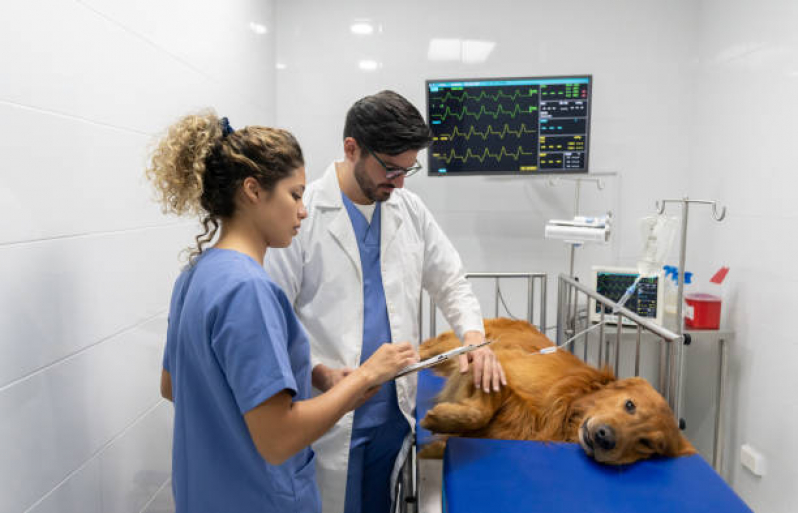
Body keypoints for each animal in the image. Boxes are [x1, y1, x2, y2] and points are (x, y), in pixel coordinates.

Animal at [422, 318, 696, 462]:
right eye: (630, 405)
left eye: (647, 444)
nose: (605, 437)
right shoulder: (499, 363)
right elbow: (480, 411)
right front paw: (440, 419)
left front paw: (435, 443)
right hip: (451, 347)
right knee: (426, 349)